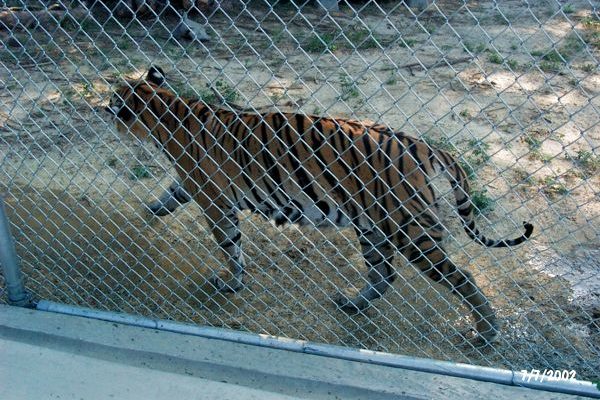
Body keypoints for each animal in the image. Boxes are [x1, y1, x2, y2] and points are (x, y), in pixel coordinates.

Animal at [105, 65, 532, 344]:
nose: (100, 110)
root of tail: (419, 142)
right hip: (372, 228)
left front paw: (232, 282)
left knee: (463, 277)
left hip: (411, 230)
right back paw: (353, 304)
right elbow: (172, 193)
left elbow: (229, 244)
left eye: (113, 103)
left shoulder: (214, 199)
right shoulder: (198, 186)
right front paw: (154, 209)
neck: (166, 111)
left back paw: (487, 331)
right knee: (383, 275)